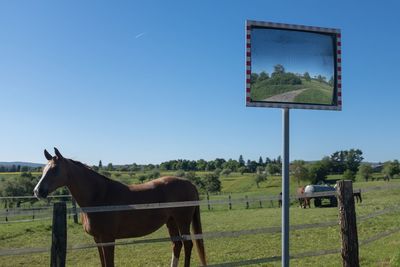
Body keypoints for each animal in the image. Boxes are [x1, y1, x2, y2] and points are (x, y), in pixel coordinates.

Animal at [33, 149, 206, 267]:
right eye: (43, 169)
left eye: (54, 169)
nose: (37, 191)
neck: (99, 196)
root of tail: (190, 183)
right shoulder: (98, 240)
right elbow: (103, 263)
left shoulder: (108, 239)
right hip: (171, 221)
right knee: (177, 245)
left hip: (182, 221)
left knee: (188, 245)